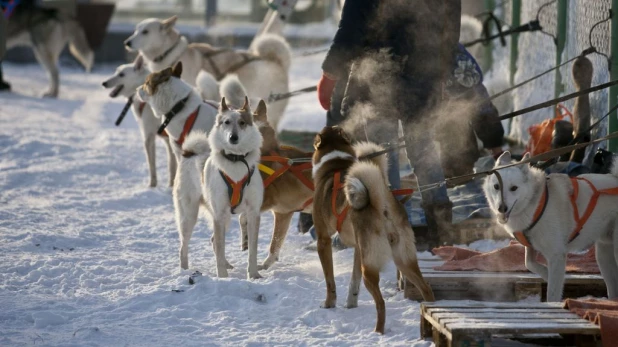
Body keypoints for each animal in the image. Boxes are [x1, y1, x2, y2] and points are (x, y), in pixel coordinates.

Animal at [101, 55, 176, 189]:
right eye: (115, 72)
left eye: (121, 74)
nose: (104, 83)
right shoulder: (166, 140)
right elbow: (171, 165)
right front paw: (171, 184)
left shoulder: (149, 137)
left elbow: (153, 166)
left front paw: (153, 185)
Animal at [180, 97, 262, 280]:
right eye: (226, 122)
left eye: (242, 122)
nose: (233, 137)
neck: (236, 160)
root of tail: (191, 154)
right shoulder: (218, 214)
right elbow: (220, 247)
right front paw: (223, 277)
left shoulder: (253, 213)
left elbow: (252, 250)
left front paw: (253, 274)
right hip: (190, 216)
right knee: (184, 246)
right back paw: (184, 270)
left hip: (224, 218)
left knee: (213, 241)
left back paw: (226, 263)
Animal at [308, 127, 434, 334]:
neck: (335, 163)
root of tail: (381, 203)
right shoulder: (358, 249)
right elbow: (353, 281)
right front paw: (351, 303)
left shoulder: (323, 240)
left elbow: (329, 280)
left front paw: (329, 303)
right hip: (404, 260)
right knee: (426, 289)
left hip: (371, 267)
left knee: (381, 303)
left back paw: (378, 331)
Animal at [482, 152, 616, 302]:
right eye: (496, 186)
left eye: (514, 188)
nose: (502, 208)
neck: (535, 201)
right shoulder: (531, 246)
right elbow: (529, 263)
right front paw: (546, 273)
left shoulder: (556, 254)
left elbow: (552, 292)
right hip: (603, 255)